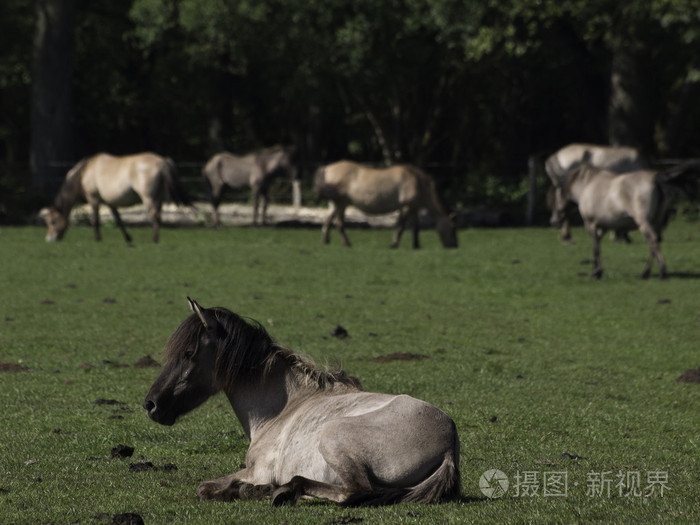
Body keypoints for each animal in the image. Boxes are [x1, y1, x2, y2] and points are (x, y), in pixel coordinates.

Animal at [143, 296, 462, 506]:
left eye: (188, 353)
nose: (151, 404)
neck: (284, 407)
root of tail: (448, 443)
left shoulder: (257, 470)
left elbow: (206, 487)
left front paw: (245, 489)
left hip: (333, 434)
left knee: (355, 491)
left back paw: (283, 491)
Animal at [314, 161, 456, 249]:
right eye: (453, 229)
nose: (455, 245)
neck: (417, 181)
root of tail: (326, 169)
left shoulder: (413, 208)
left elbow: (416, 228)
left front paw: (416, 245)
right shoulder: (405, 208)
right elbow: (400, 227)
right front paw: (394, 244)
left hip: (335, 204)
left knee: (327, 220)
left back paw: (326, 241)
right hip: (341, 203)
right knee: (338, 223)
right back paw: (347, 243)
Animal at [552, 163, 700, 278]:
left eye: (556, 196)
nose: (553, 221)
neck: (587, 185)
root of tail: (655, 178)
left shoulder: (590, 224)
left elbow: (595, 247)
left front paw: (596, 273)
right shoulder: (603, 226)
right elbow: (598, 244)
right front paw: (597, 270)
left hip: (644, 223)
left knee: (653, 240)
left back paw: (662, 273)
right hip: (656, 223)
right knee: (655, 242)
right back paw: (646, 273)